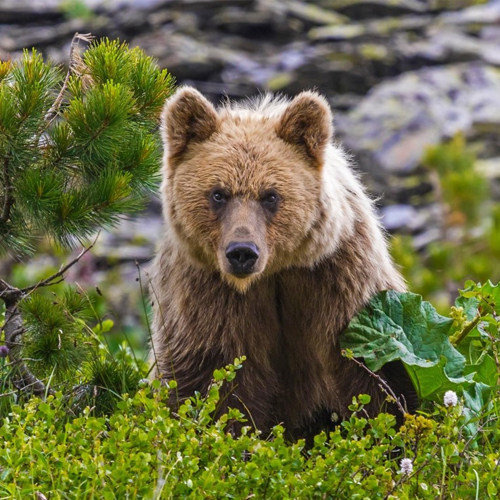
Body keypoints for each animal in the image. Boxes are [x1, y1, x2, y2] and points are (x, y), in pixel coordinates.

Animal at [149, 86, 418, 438]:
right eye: (218, 194)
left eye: (270, 195)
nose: (242, 252)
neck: (273, 274)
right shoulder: (210, 298)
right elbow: (215, 384)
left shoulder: (338, 281)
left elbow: (373, 376)